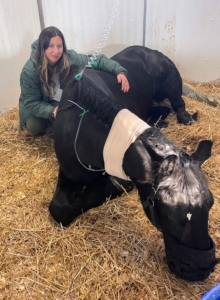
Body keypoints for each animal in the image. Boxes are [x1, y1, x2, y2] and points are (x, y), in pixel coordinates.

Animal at [48, 46, 218, 282]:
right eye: (172, 215)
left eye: (211, 204)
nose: (203, 267)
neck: (82, 128)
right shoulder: (69, 172)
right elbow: (58, 209)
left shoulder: (122, 179)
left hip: (173, 83)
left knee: (179, 107)